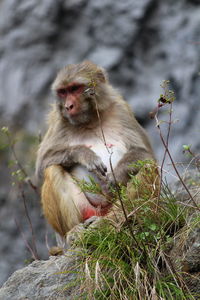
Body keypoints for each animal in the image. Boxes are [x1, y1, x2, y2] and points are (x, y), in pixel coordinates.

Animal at [35, 61, 159, 238]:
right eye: (63, 92)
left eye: (75, 88)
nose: (68, 106)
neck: (91, 119)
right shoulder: (58, 120)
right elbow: (43, 162)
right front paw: (85, 155)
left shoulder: (121, 110)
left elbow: (145, 153)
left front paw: (115, 177)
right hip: (86, 210)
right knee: (52, 169)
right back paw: (75, 231)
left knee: (147, 167)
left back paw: (112, 221)